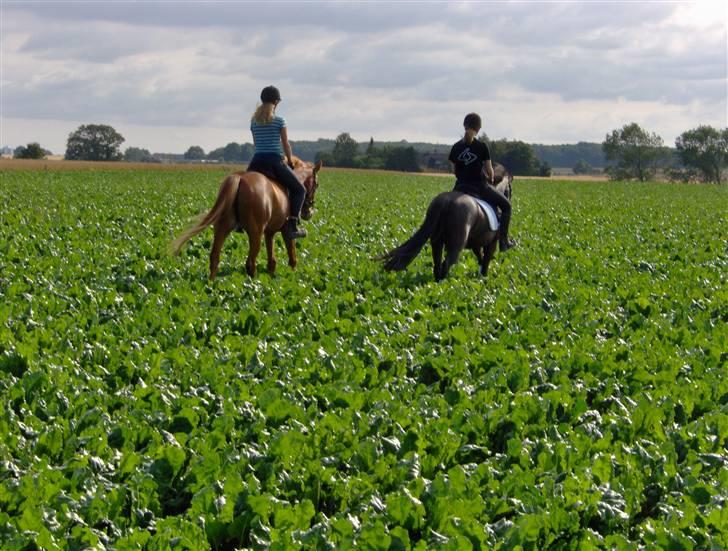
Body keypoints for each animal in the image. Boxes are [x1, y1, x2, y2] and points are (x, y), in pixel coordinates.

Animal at [171, 158, 322, 280]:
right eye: (316, 184)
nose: (308, 213)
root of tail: (239, 178)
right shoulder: (285, 230)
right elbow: (292, 256)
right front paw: (291, 277)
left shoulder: (269, 232)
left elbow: (271, 260)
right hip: (255, 233)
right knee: (250, 262)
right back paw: (253, 285)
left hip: (222, 228)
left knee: (215, 257)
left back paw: (212, 285)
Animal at [378, 163, 516, 280]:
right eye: (510, 189)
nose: (509, 196)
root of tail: (446, 202)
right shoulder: (491, 243)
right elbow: (486, 261)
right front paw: (484, 277)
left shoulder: (476, 243)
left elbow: (480, 257)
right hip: (456, 244)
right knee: (447, 263)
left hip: (436, 241)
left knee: (437, 264)